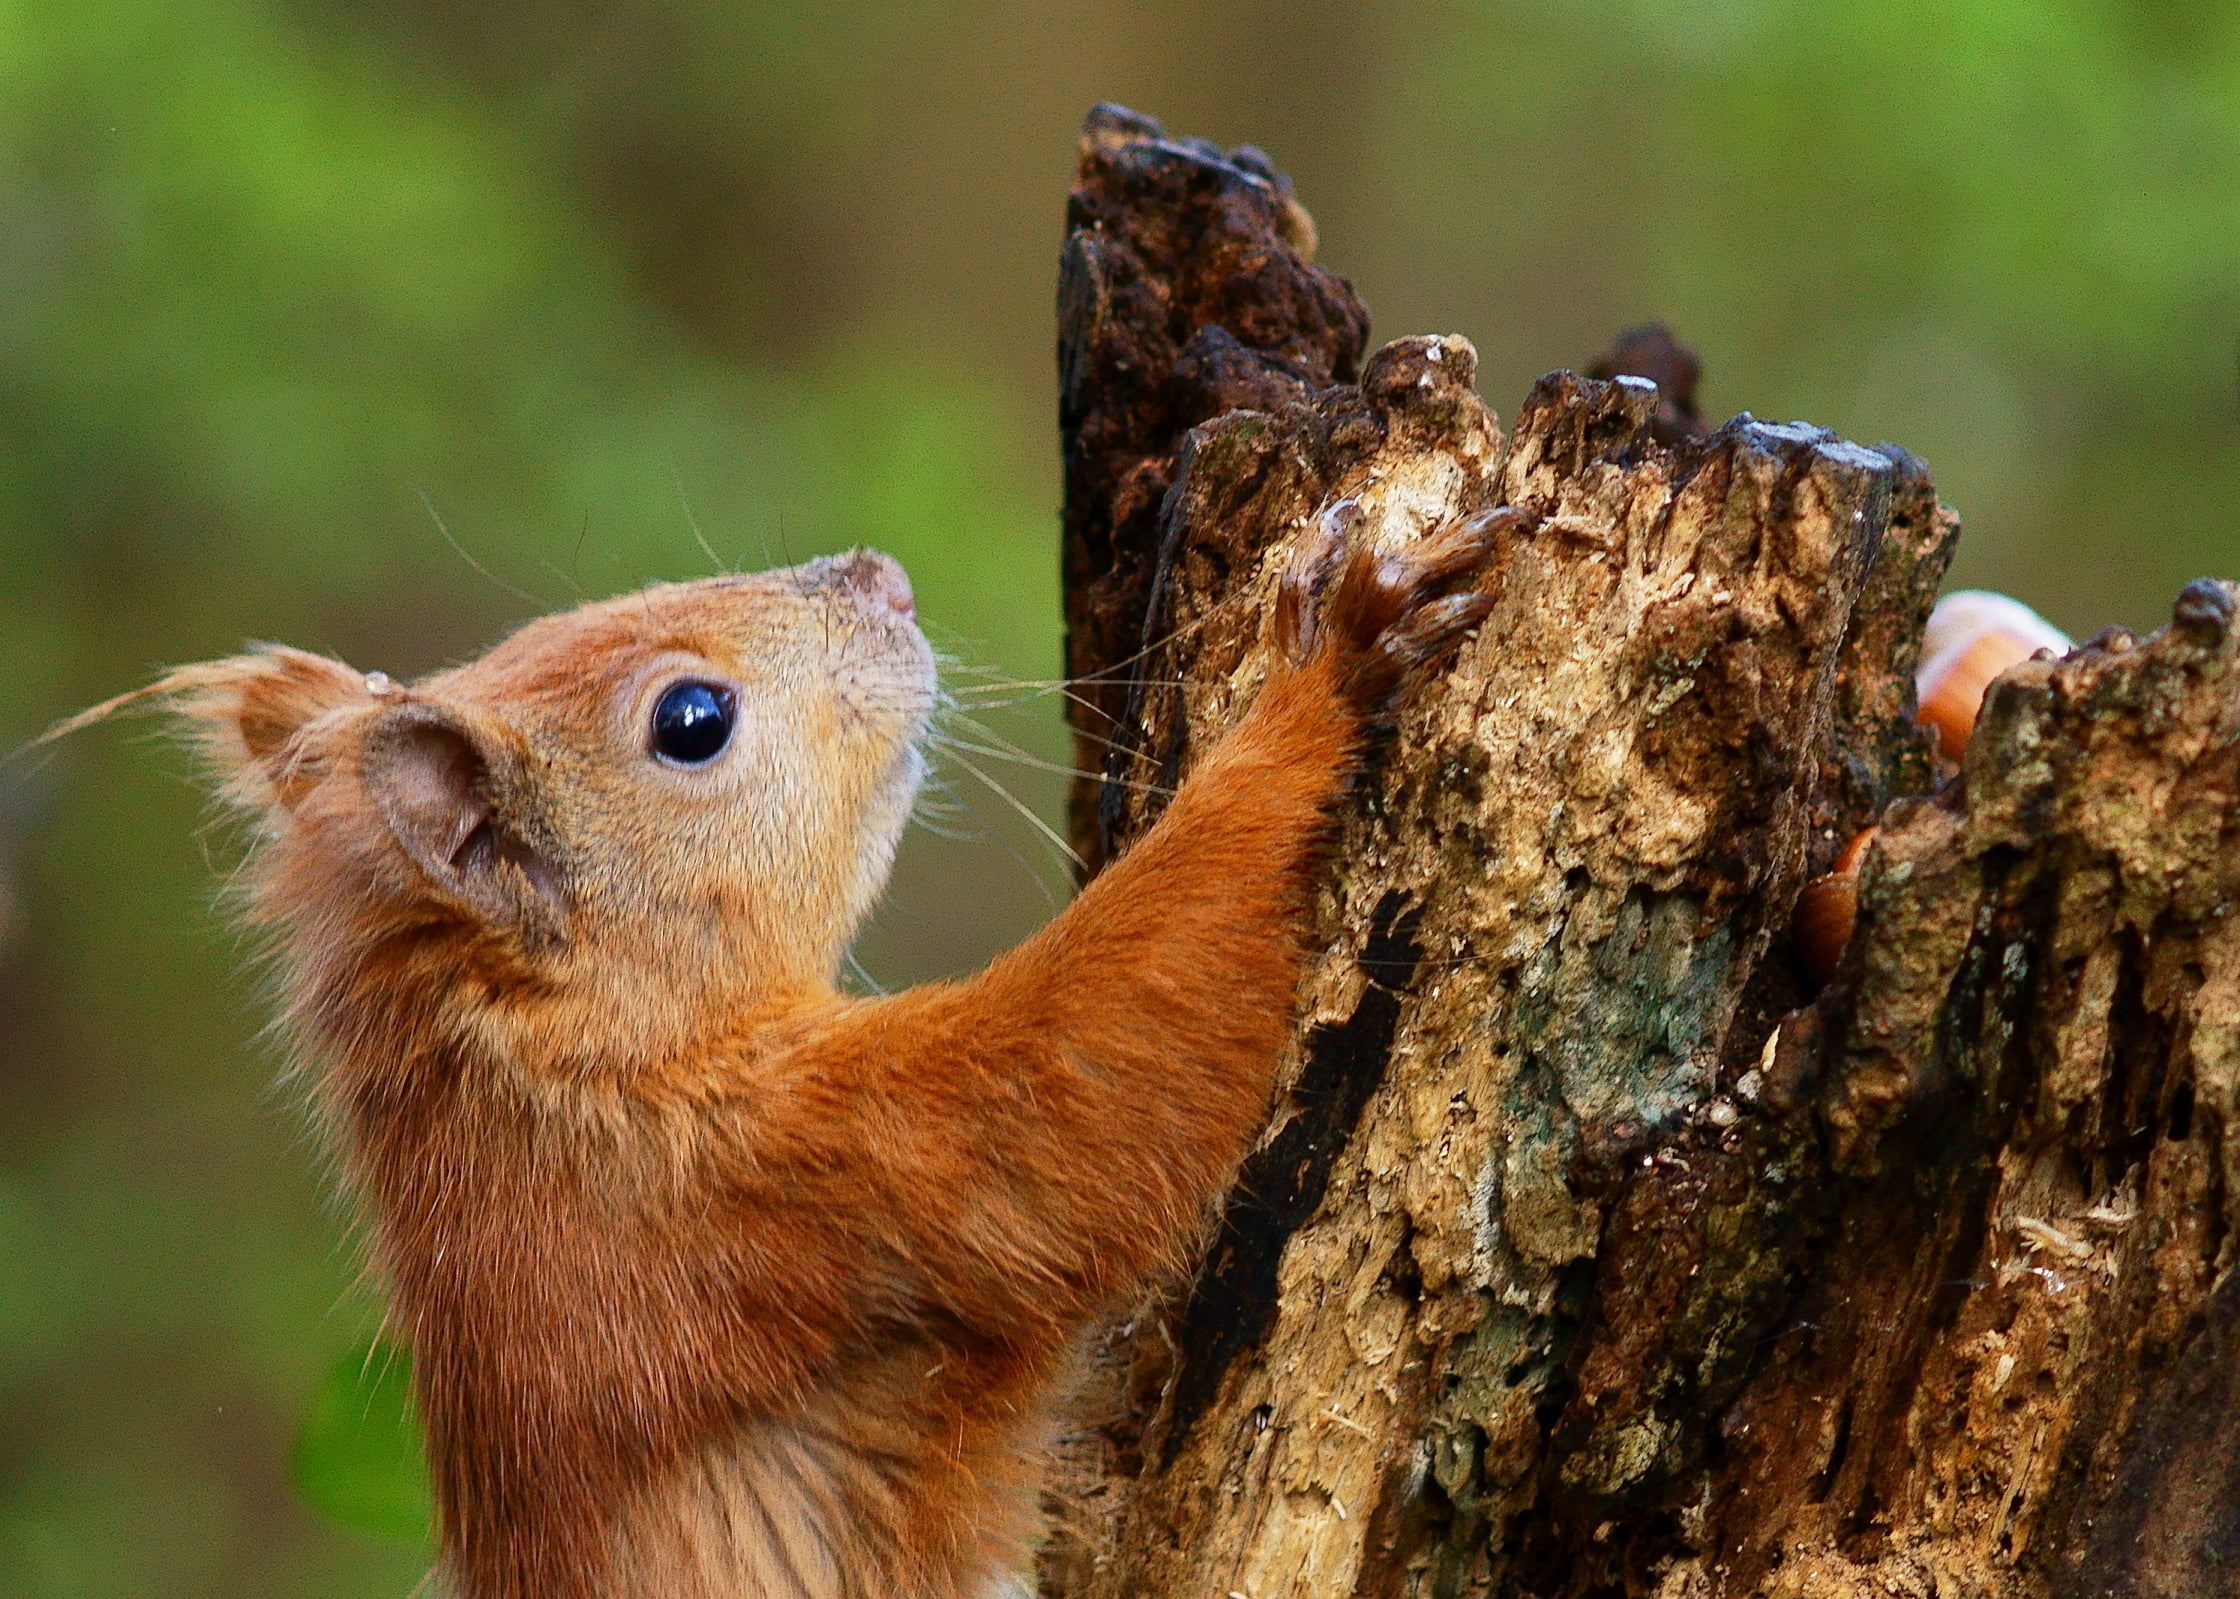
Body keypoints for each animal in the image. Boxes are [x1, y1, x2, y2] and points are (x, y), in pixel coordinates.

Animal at [59, 510, 1500, 1599]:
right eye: (693, 720)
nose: (882, 575)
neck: (567, 1077)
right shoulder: (762, 1178)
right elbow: (1082, 1084)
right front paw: (1330, 662)